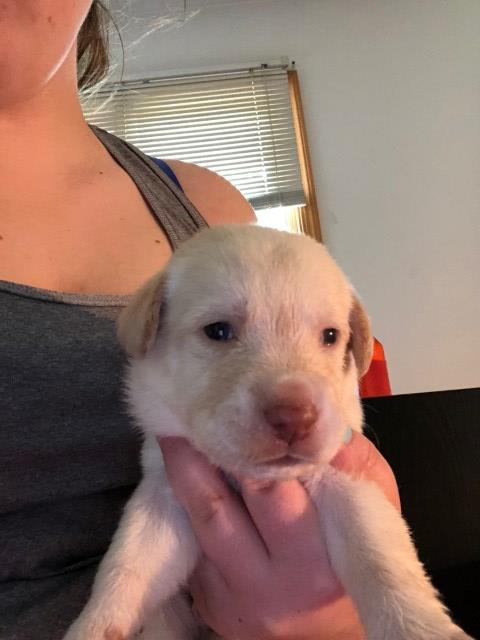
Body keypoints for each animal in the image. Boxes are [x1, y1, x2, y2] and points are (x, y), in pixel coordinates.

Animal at [65, 225, 474, 640]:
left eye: (330, 335)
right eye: (218, 331)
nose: (294, 417)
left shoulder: (346, 482)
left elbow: (381, 559)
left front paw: (421, 628)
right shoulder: (162, 499)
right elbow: (125, 568)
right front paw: (91, 627)